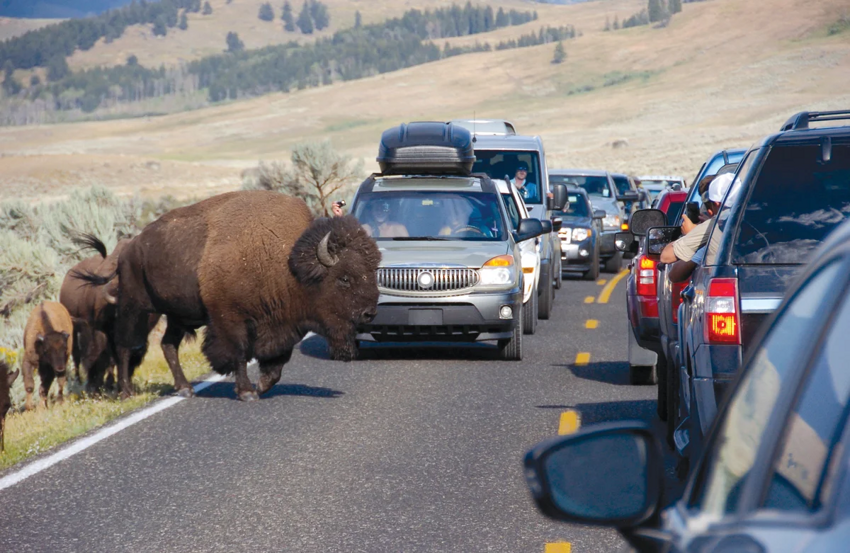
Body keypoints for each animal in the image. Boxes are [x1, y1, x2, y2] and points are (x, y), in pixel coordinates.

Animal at [78, 192, 378, 398]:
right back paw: (126, 392)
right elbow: (239, 353)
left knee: (167, 345)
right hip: (136, 307)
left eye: (372, 271)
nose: (369, 312)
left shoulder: (282, 324)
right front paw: (246, 392)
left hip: (177, 316)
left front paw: (261, 386)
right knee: (125, 346)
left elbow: (277, 362)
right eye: (344, 278)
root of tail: (128, 249)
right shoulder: (230, 319)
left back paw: (185, 388)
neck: (286, 261)